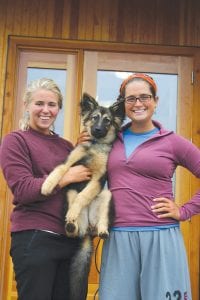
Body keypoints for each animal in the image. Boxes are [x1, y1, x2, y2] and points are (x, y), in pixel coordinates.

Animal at [41, 93, 125, 300]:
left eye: (107, 121)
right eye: (94, 118)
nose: (97, 130)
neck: (94, 146)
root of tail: (87, 230)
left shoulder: (98, 179)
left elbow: (83, 196)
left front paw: (74, 209)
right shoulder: (70, 162)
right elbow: (60, 169)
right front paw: (47, 185)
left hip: (107, 195)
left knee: (101, 219)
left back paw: (100, 229)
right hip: (68, 193)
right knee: (72, 228)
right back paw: (71, 224)